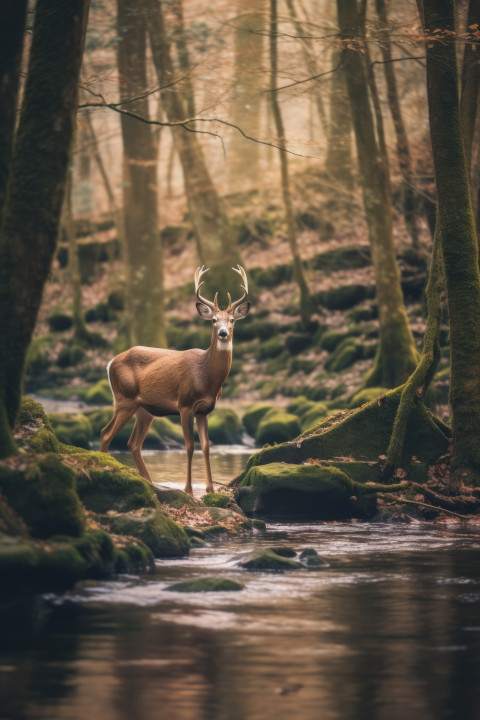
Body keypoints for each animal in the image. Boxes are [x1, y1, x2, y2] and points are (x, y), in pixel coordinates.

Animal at [100, 265, 250, 496]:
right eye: (214, 320)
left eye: (232, 320)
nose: (224, 333)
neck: (204, 376)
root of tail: (111, 363)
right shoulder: (185, 403)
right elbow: (189, 446)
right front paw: (188, 489)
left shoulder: (205, 409)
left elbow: (206, 446)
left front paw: (210, 489)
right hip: (125, 398)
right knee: (106, 433)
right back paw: (107, 468)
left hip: (145, 408)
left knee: (133, 443)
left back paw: (150, 482)